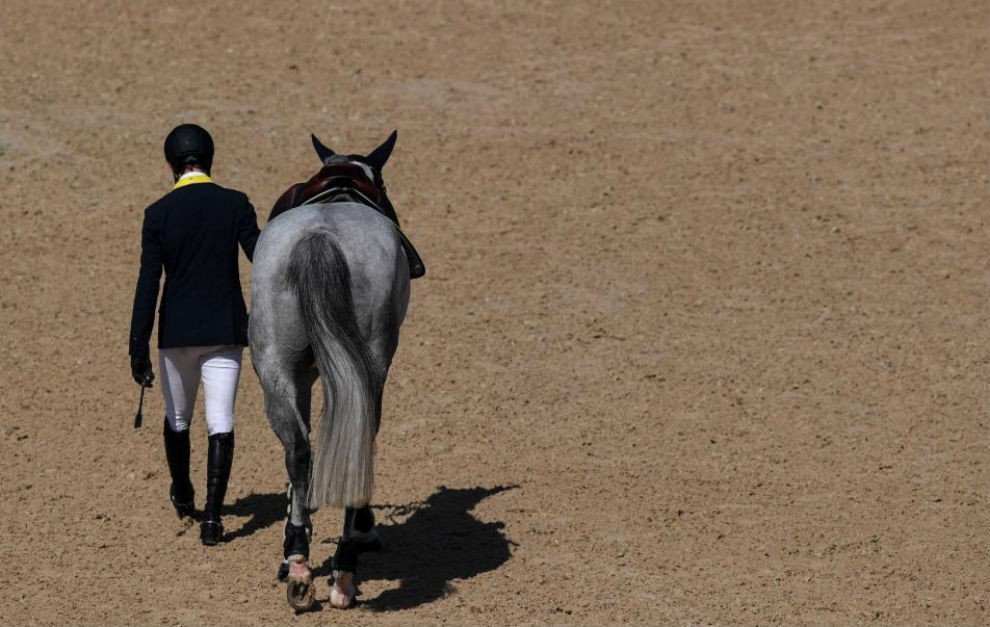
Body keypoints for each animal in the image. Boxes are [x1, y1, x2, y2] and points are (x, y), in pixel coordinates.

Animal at [248, 131, 412, 611]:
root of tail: (320, 236)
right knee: (358, 437)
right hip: (369, 364)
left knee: (299, 450)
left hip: (274, 365)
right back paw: (344, 572)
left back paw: (299, 567)